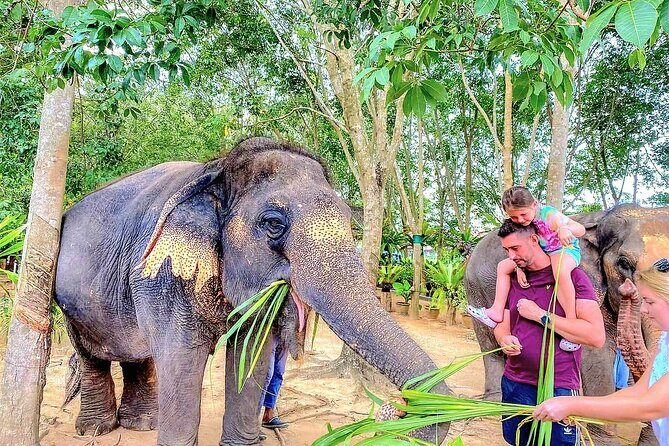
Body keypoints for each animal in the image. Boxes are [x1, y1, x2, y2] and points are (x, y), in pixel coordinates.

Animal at [54, 137, 450, 446]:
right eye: (273, 223)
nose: (397, 409)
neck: (215, 169)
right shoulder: (164, 274)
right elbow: (182, 358)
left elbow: (252, 351)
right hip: (68, 299)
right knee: (90, 354)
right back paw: (95, 430)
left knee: (138, 354)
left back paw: (141, 424)